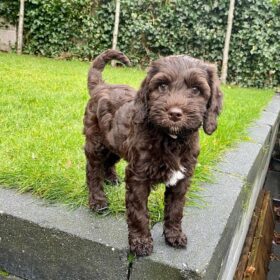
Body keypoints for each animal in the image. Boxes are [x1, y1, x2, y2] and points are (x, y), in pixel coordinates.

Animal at [83, 48, 223, 256]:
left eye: (196, 90)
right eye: (162, 86)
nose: (174, 114)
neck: (171, 139)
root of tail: (102, 86)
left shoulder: (183, 177)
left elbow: (176, 209)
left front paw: (174, 235)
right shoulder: (138, 175)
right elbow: (139, 211)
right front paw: (141, 242)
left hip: (114, 140)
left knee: (109, 161)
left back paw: (111, 179)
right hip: (96, 141)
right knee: (93, 170)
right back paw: (98, 201)